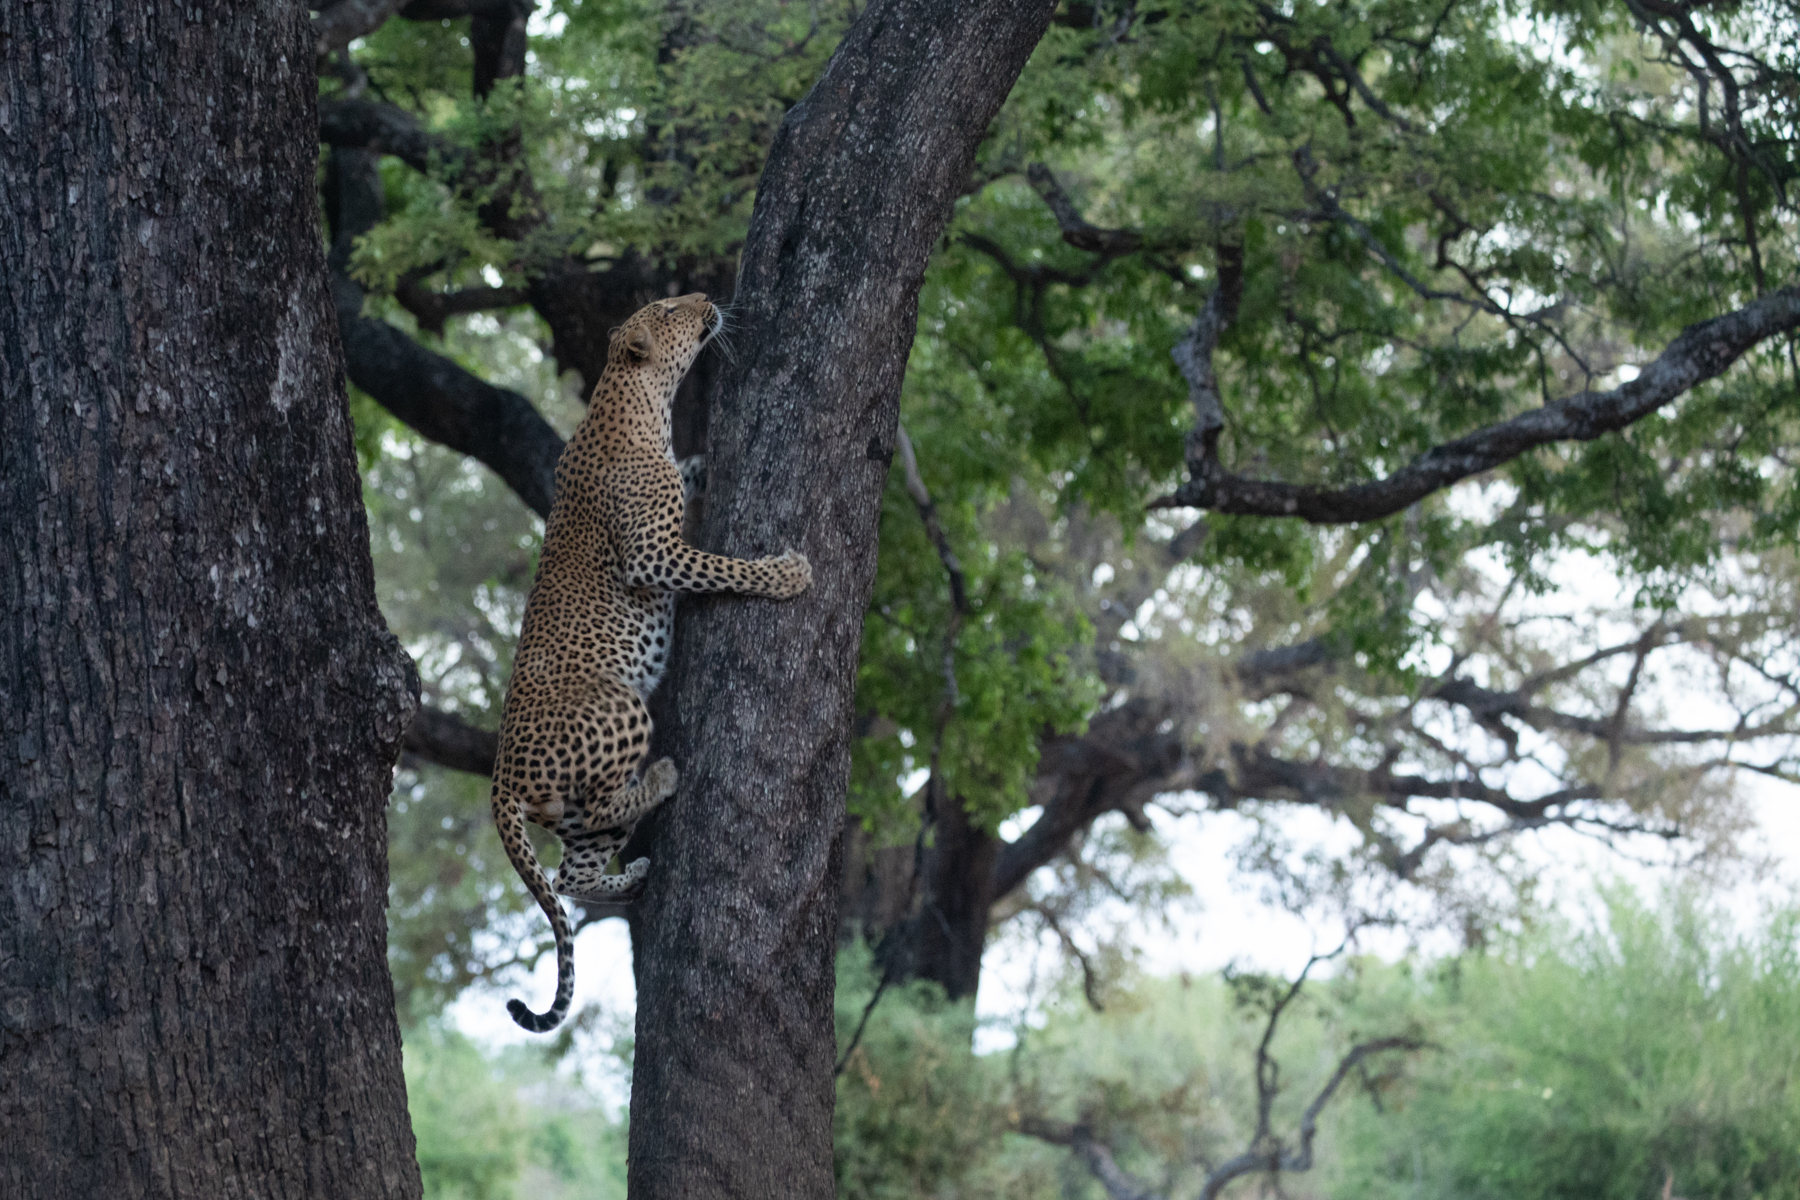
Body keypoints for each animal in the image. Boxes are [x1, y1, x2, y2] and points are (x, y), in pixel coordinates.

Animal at [493, 293, 812, 1033]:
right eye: (667, 309)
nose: (707, 298)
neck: (635, 398)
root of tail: (497, 781)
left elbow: (692, 476)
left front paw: (705, 460)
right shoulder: (652, 553)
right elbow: (726, 567)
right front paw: (786, 575)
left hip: (569, 814)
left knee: (571, 873)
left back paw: (631, 874)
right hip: (620, 705)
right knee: (604, 808)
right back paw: (662, 777)